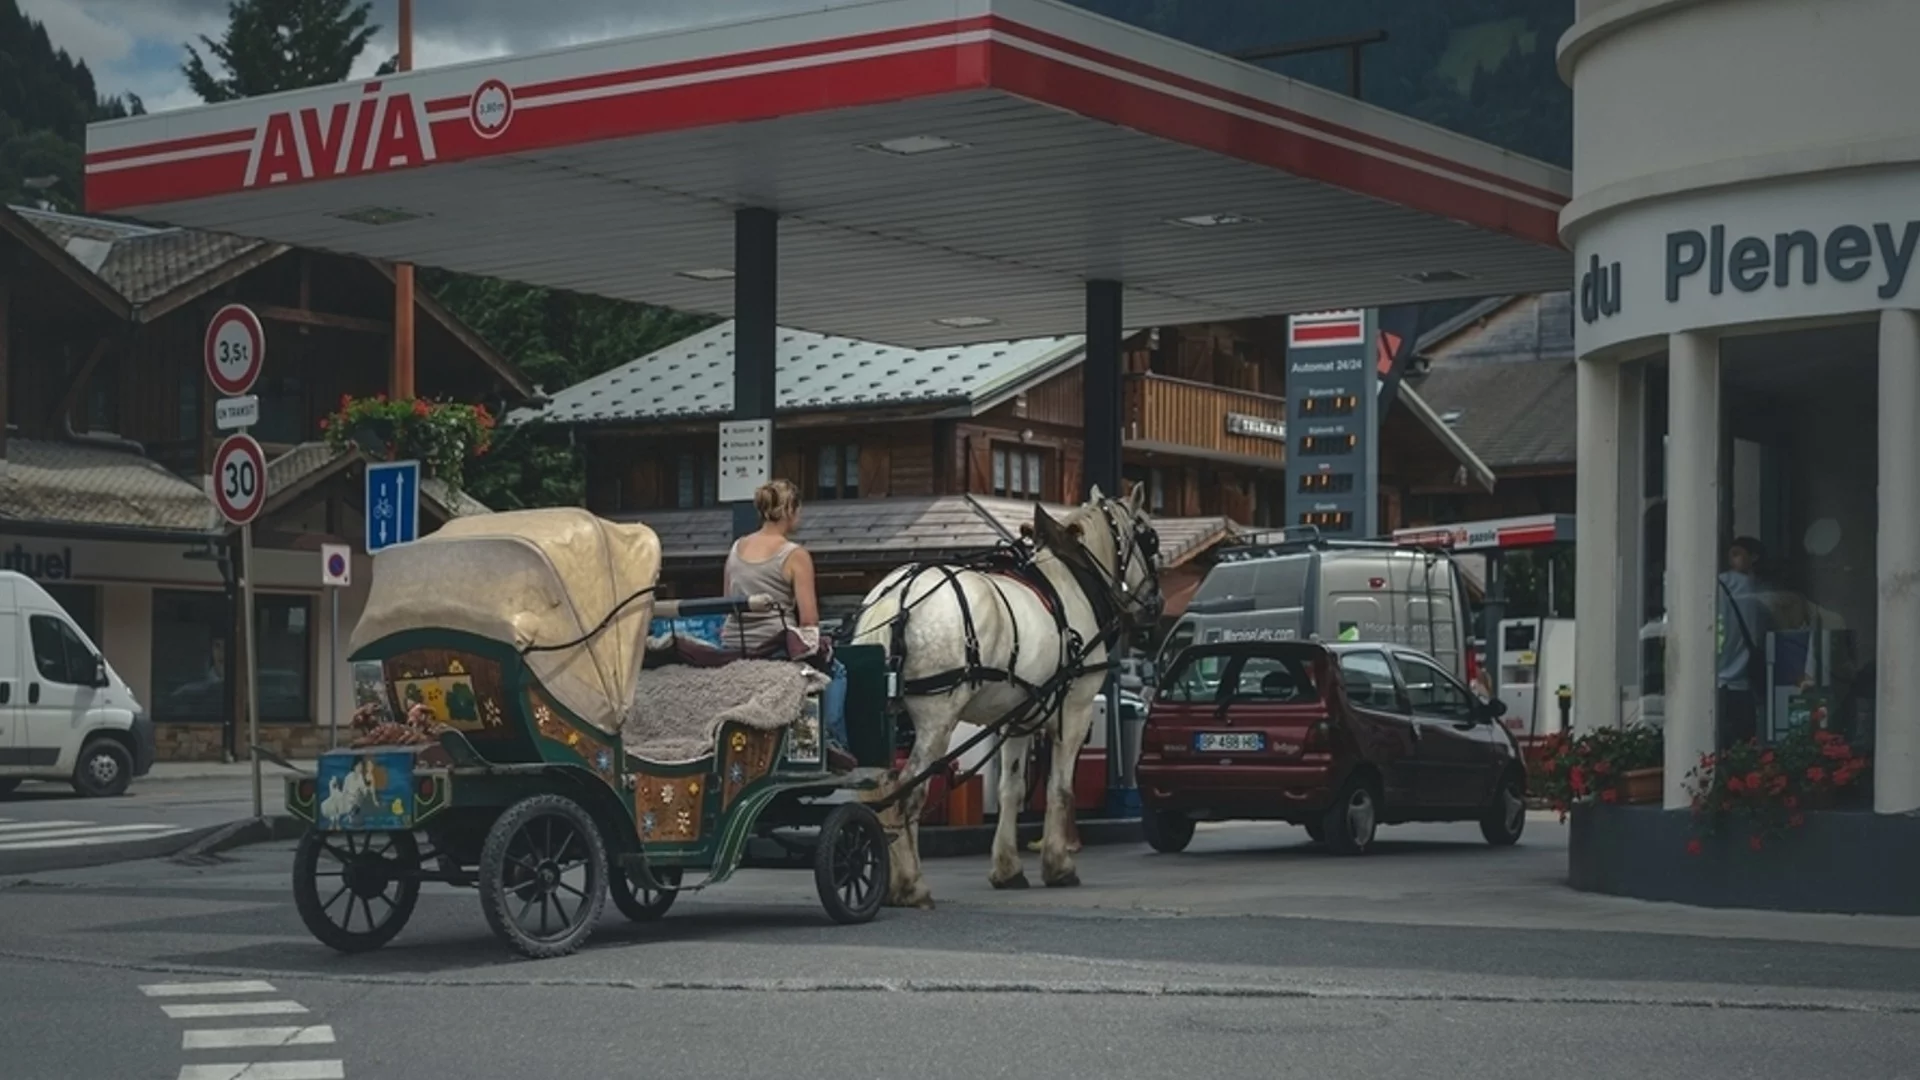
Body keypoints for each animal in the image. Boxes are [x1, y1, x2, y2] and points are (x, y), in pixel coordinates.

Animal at [852, 484, 1152, 903]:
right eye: (1150, 538)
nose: (1155, 604)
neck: (1072, 583)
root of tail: (896, 598)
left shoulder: (1020, 716)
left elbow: (1012, 787)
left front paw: (1008, 868)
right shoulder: (1075, 710)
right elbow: (1060, 787)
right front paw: (1058, 865)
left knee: (877, 788)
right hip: (936, 719)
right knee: (908, 789)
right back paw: (912, 884)